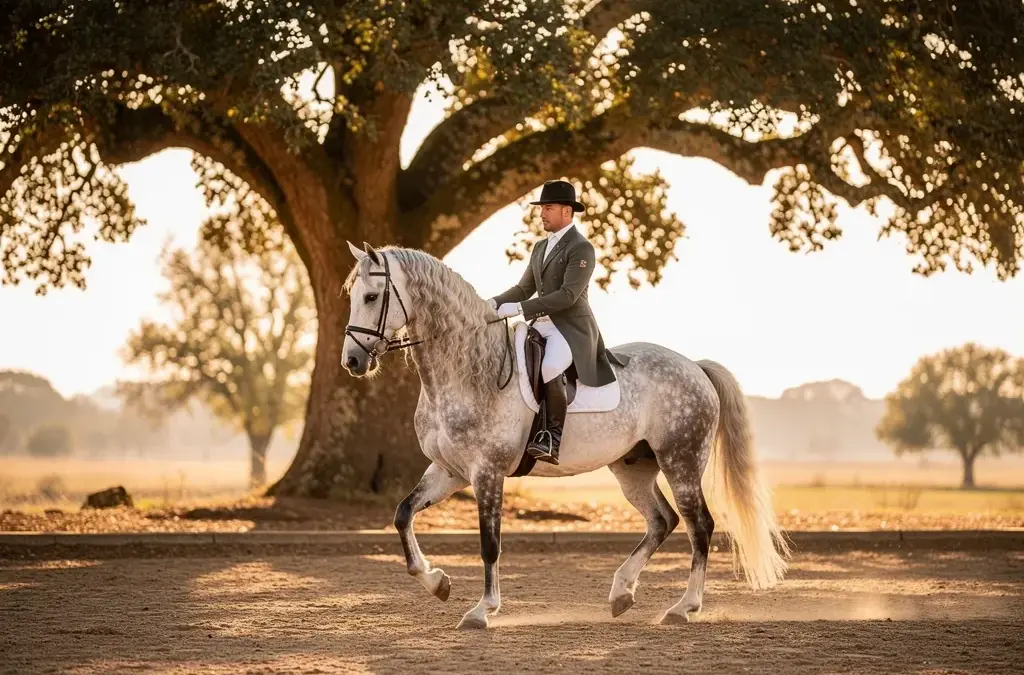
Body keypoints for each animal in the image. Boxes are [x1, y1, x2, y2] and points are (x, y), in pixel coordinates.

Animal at [341, 241, 790, 629]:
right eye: (352, 296)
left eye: (372, 297)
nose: (352, 361)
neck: (467, 369)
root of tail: (694, 366)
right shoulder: (449, 469)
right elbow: (403, 514)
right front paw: (437, 582)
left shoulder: (487, 472)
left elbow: (490, 543)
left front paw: (482, 610)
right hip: (632, 467)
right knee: (663, 521)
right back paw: (621, 593)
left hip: (681, 461)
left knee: (701, 526)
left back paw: (683, 607)